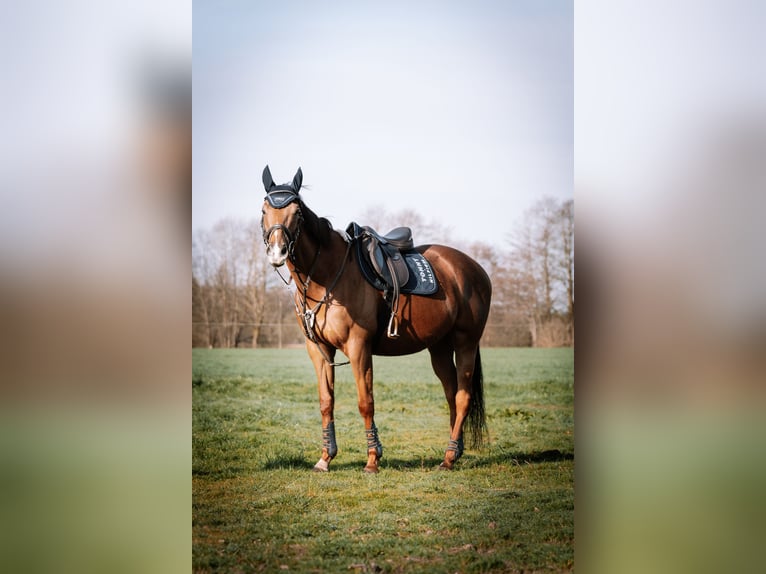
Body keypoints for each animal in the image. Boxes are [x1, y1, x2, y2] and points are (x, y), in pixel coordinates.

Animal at [262, 165, 492, 472]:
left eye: (297, 212)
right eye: (264, 209)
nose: (277, 252)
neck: (326, 276)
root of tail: (474, 268)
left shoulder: (359, 347)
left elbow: (365, 402)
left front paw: (373, 458)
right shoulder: (319, 350)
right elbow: (326, 401)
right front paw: (325, 457)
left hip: (466, 343)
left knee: (463, 397)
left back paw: (448, 458)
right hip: (439, 348)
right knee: (451, 393)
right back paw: (455, 452)